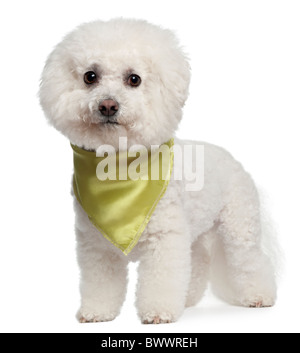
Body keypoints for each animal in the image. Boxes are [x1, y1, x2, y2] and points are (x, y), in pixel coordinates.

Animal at [39, 18, 276, 322]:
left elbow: (162, 279)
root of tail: (232, 159)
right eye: (90, 76)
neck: (117, 168)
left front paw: (159, 312)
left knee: (250, 262)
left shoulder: (166, 238)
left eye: (134, 79)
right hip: (198, 232)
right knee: (198, 261)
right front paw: (97, 311)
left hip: (238, 226)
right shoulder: (96, 244)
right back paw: (187, 298)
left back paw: (259, 296)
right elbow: (101, 282)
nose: (108, 105)